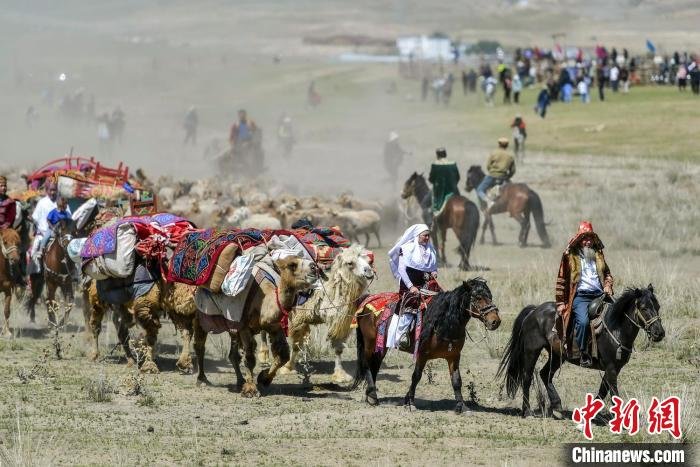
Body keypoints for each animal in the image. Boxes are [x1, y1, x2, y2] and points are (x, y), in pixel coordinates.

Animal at [194, 256, 320, 398]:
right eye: (292, 265)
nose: (314, 267)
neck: (263, 301)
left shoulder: (274, 326)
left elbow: (283, 355)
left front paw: (264, 379)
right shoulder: (244, 327)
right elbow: (249, 358)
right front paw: (250, 390)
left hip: (232, 326)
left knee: (233, 354)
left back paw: (240, 381)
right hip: (200, 314)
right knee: (199, 346)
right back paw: (202, 380)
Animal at [278, 245, 378, 384]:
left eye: (368, 260)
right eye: (350, 263)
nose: (369, 271)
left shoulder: (340, 322)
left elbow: (338, 348)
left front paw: (340, 375)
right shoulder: (298, 318)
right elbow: (296, 345)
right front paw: (287, 368)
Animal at [352, 278, 500, 414]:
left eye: (491, 296)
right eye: (478, 298)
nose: (495, 321)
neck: (444, 323)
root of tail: (367, 299)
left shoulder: (454, 356)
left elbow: (457, 380)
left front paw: (461, 406)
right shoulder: (422, 355)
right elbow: (416, 376)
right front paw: (410, 403)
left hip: (381, 346)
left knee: (375, 366)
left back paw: (371, 396)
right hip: (369, 343)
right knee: (367, 364)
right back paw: (373, 395)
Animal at [494, 286, 664, 420]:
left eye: (658, 306)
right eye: (644, 308)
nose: (659, 333)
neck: (615, 328)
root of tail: (534, 310)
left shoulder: (612, 369)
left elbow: (602, 391)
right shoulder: (611, 368)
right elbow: (614, 394)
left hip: (557, 355)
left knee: (545, 374)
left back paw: (557, 407)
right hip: (532, 351)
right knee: (527, 378)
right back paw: (527, 411)